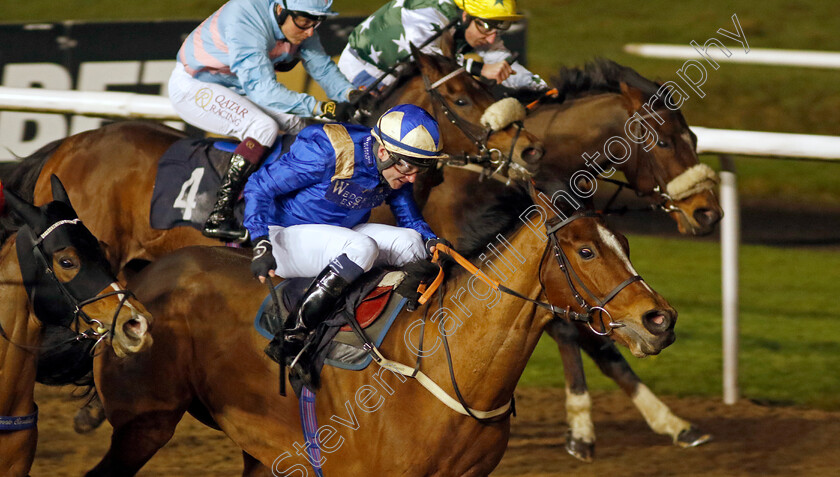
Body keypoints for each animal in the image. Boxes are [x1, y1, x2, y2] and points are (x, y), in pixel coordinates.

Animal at [85, 183, 676, 476]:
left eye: (625, 241)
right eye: (586, 250)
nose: (660, 320)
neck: (445, 366)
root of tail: (135, 283)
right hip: (144, 426)